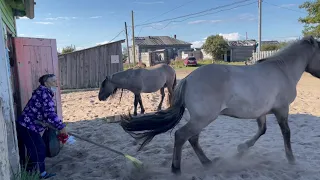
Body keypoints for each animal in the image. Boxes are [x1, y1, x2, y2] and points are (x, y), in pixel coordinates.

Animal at [119, 35, 320, 174]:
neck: (282, 70)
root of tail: (189, 79)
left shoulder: (262, 112)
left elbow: (261, 131)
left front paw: (240, 150)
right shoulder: (282, 109)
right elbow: (286, 133)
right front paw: (291, 159)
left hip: (200, 119)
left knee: (192, 138)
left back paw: (207, 162)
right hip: (203, 118)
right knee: (181, 136)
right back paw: (177, 168)